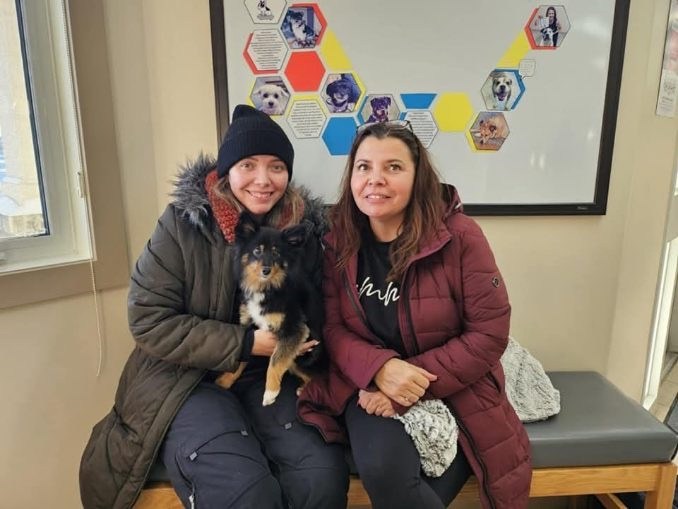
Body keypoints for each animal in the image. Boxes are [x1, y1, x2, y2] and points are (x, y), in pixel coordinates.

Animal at [216, 210, 326, 404]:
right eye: (257, 251)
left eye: (276, 254)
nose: (266, 270)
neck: (266, 288)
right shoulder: (249, 326)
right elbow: (242, 358)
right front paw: (225, 380)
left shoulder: (295, 328)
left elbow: (276, 359)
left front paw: (270, 392)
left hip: (305, 356)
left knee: (318, 379)